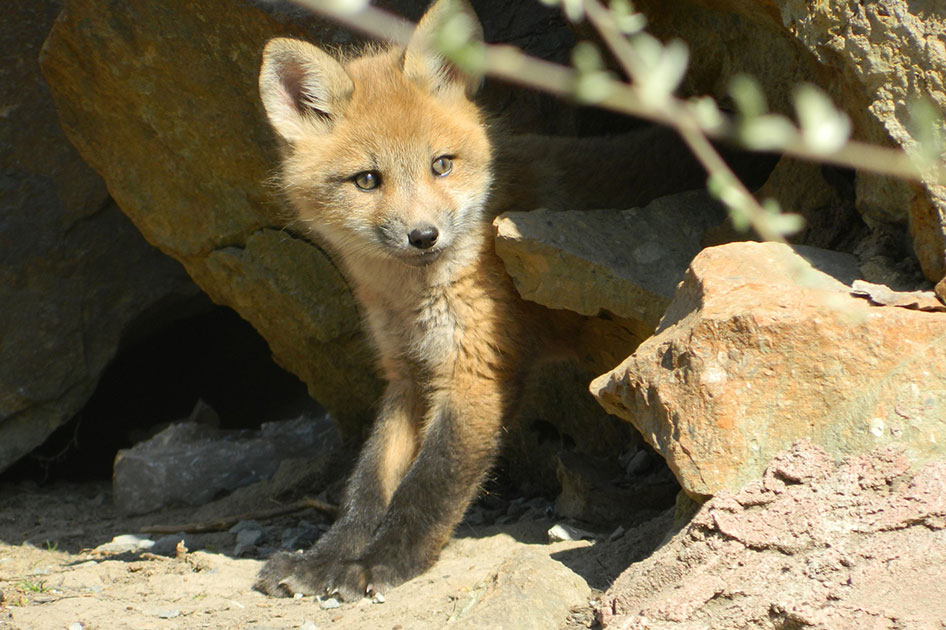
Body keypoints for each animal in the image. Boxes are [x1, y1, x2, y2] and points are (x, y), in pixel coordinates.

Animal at [253, 0, 729, 601]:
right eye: (366, 180)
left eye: (441, 165)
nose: (424, 236)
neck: (413, 299)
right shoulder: (409, 375)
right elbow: (369, 486)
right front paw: (326, 557)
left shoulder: (475, 373)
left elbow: (426, 488)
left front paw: (382, 563)